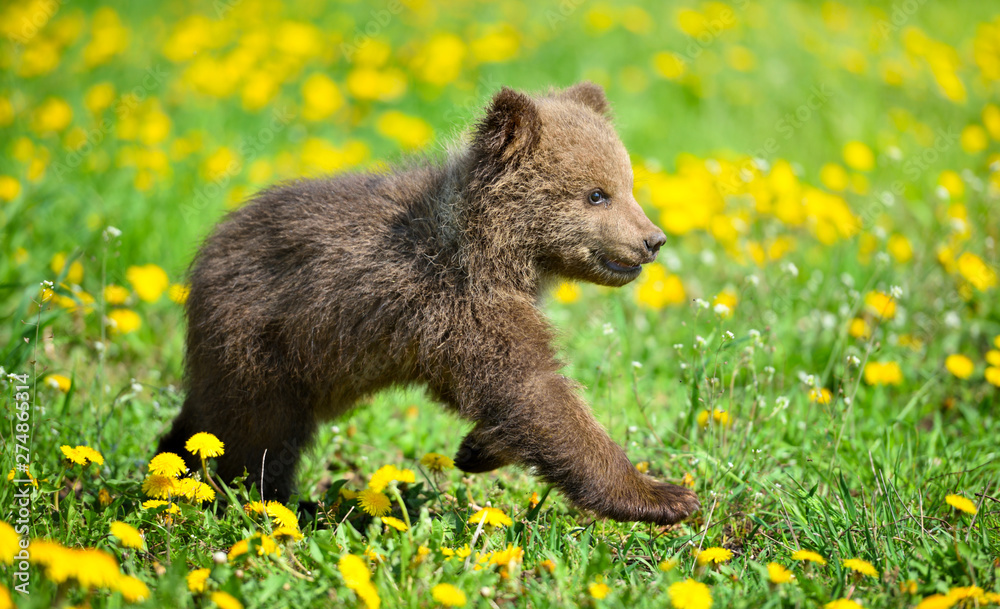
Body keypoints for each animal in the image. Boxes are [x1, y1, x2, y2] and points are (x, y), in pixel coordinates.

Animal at [157, 82, 700, 526]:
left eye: (627, 184)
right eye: (596, 194)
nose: (653, 240)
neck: (490, 249)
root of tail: (206, 254)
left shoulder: (448, 326)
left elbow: (512, 399)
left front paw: (475, 449)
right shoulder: (456, 304)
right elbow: (534, 393)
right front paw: (663, 495)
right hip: (262, 347)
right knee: (252, 435)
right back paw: (257, 498)